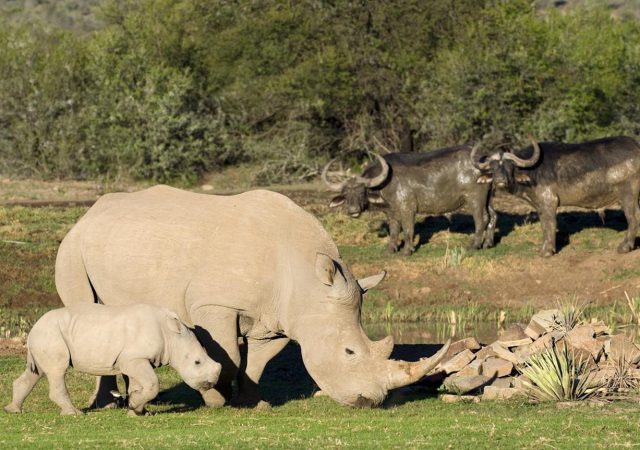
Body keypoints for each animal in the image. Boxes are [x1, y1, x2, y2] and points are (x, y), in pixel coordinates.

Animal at [4, 303, 221, 416]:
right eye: (197, 362)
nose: (210, 384)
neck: (172, 336)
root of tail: (34, 327)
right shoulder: (134, 358)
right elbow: (152, 383)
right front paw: (135, 406)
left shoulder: (135, 358)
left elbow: (140, 385)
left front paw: (137, 410)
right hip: (50, 335)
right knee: (57, 371)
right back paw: (74, 414)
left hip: (45, 335)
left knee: (36, 372)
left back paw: (12, 410)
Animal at [54, 186, 449, 408]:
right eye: (350, 352)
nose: (370, 402)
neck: (306, 279)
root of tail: (89, 212)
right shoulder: (215, 305)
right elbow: (226, 356)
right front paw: (215, 399)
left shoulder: (280, 318)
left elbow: (256, 362)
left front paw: (252, 403)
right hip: (73, 247)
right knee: (85, 310)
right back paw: (107, 404)